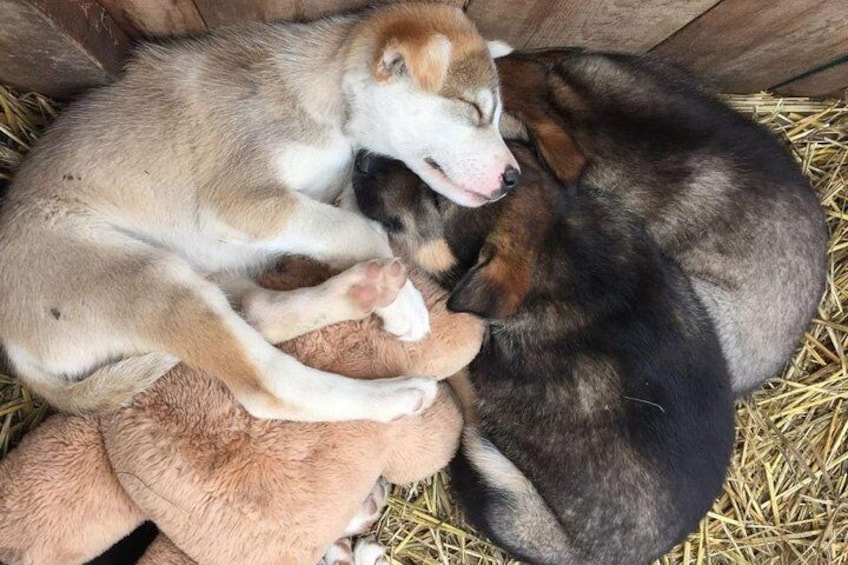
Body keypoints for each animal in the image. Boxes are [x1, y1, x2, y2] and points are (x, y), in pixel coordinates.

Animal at [0, 2, 516, 420]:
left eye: (494, 114)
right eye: (473, 109)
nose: (514, 177)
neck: (324, 96)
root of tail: (16, 349)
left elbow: (350, 215)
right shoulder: (241, 202)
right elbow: (358, 228)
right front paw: (404, 302)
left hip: (202, 275)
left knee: (258, 312)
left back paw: (364, 289)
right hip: (150, 279)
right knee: (268, 385)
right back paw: (396, 392)